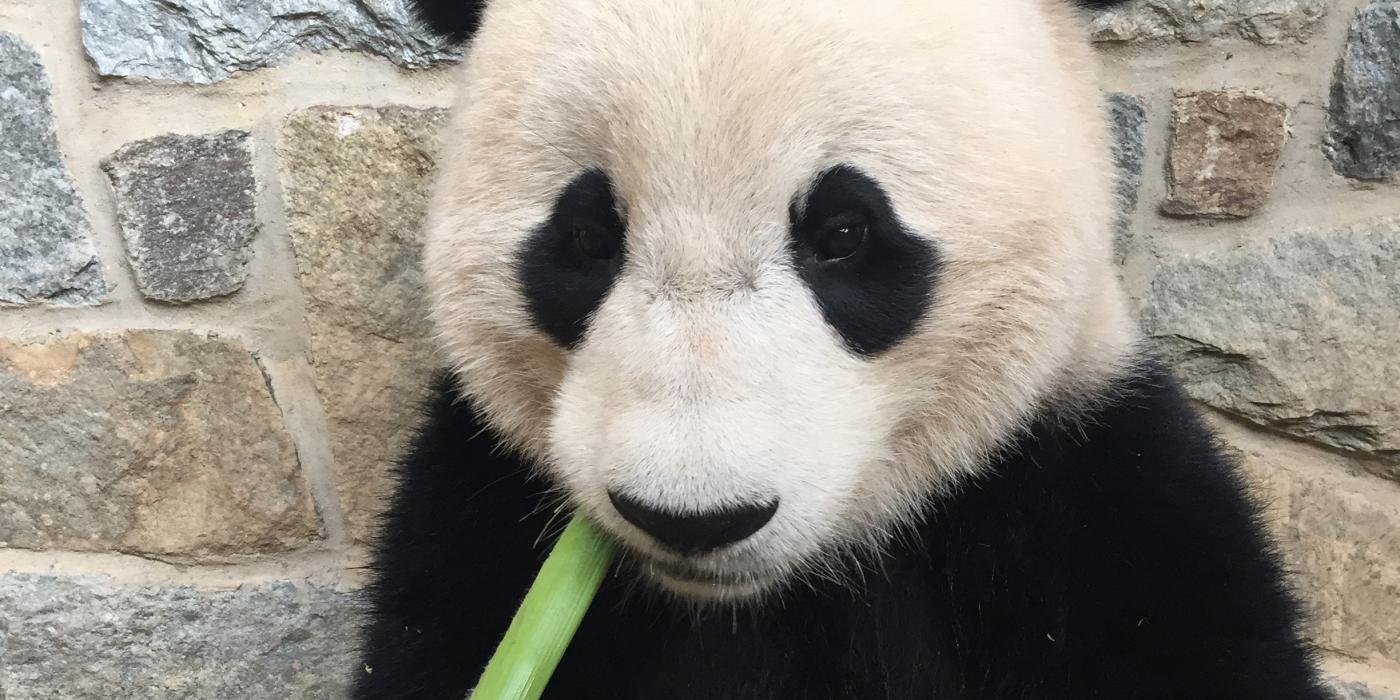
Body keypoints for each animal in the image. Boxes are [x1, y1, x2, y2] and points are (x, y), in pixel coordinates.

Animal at [347, 0, 1321, 697]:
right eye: (587, 239)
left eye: (845, 234)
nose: (694, 518)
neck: (773, 595)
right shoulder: (476, 514)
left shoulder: (1086, 495)